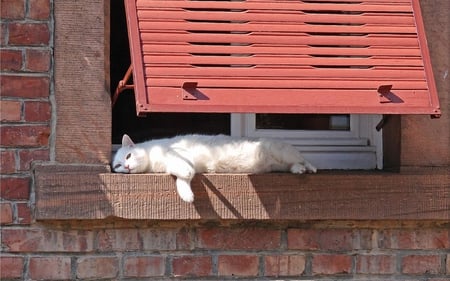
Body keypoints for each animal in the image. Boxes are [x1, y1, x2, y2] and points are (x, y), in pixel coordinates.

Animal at [112, 133, 316, 201]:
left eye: (128, 156)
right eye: (118, 165)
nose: (127, 166)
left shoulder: (177, 154)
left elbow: (184, 170)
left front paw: (187, 174)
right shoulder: (172, 166)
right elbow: (181, 179)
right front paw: (187, 195)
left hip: (282, 152)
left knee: (303, 159)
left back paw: (308, 168)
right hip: (278, 164)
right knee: (292, 165)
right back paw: (298, 170)